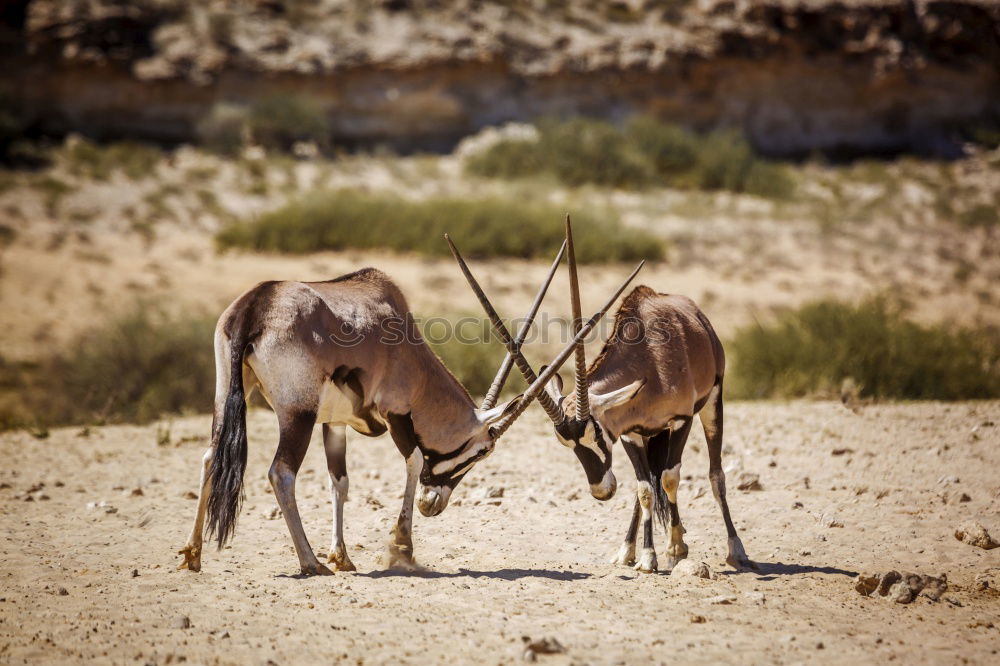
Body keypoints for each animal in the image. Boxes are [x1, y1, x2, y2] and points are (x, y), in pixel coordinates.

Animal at [177, 256, 640, 572]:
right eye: (482, 451)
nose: (432, 505)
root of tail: (258, 302)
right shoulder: (395, 411)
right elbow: (414, 460)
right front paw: (401, 546)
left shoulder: (334, 423)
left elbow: (339, 482)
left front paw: (343, 556)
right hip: (297, 414)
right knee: (281, 472)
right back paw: (310, 563)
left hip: (229, 394)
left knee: (210, 458)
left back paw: (193, 554)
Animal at [450, 218, 752, 572]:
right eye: (564, 443)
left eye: (595, 434)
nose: (601, 491)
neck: (651, 358)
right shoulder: (630, 432)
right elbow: (645, 489)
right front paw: (647, 556)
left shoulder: (681, 420)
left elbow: (670, 479)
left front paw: (677, 548)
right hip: (650, 434)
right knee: (647, 483)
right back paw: (628, 550)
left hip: (711, 403)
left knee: (714, 474)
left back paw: (736, 550)